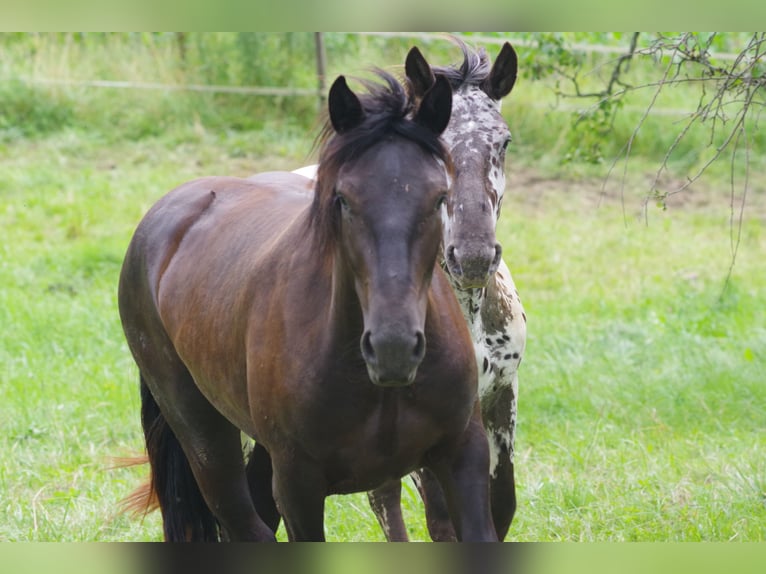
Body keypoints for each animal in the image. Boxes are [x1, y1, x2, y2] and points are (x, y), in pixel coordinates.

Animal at [116, 70, 496, 544]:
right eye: (344, 199)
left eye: (439, 198)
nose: (392, 348)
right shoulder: (298, 486)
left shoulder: (464, 455)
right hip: (202, 434)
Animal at [288, 41, 528, 544]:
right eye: (440, 146)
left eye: (504, 142)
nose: (473, 256)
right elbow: (442, 521)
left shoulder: (501, 397)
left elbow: (501, 509)